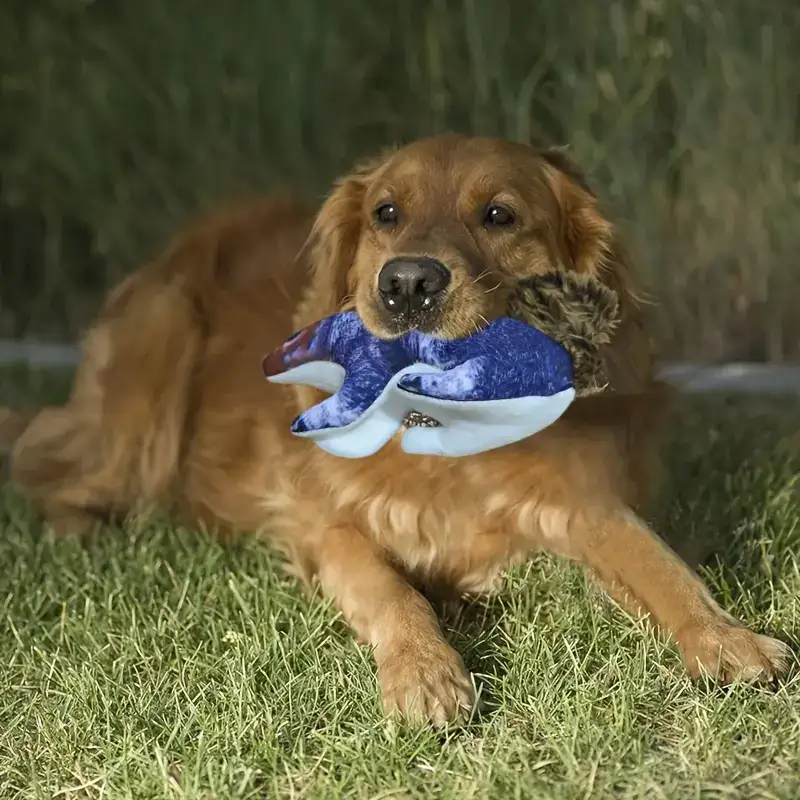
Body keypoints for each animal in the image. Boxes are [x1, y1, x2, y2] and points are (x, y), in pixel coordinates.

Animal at [2, 134, 790, 726]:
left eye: (499, 215)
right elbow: (393, 593)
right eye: (386, 211)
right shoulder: (329, 528)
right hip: (152, 373)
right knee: (44, 460)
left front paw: (726, 638)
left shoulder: (589, 507)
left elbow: (664, 566)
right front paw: (424, 671)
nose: (408, 281)